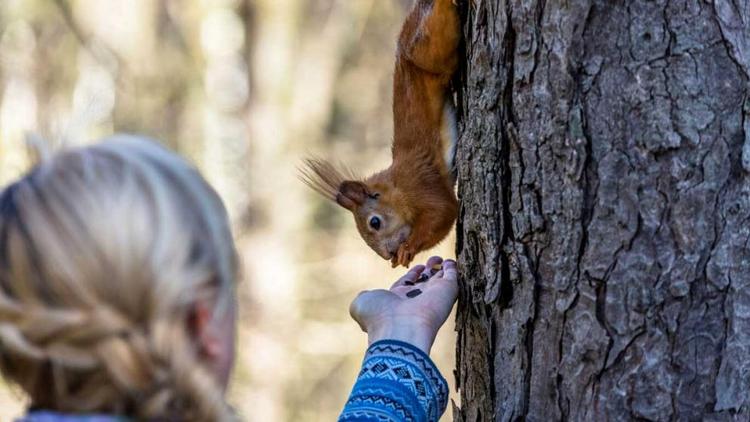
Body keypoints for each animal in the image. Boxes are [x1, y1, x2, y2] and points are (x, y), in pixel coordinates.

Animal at [302, 0, 462, 268]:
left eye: (374, 222)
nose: (388, 255)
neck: (395, 185)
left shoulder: (420, 184)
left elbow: (444, 211)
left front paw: (408, 248)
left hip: (428, 51)